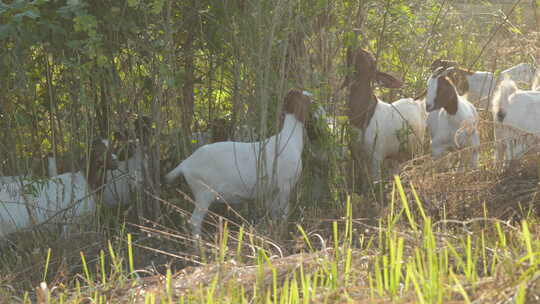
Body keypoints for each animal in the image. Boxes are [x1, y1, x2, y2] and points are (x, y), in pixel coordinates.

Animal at [165, 88, 310, 238]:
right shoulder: (285, 184)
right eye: (308, 99)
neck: (289, 140)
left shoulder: (272, 190)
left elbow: (274, 213)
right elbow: (284, 213)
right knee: (194, 221)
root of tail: (185, 164)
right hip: (203, 191)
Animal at [346, 48, 426, 179]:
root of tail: (418, 102)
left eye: (370, 61)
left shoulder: (376, 157)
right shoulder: (355, 155)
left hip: (417, 145)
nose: (353, 49)